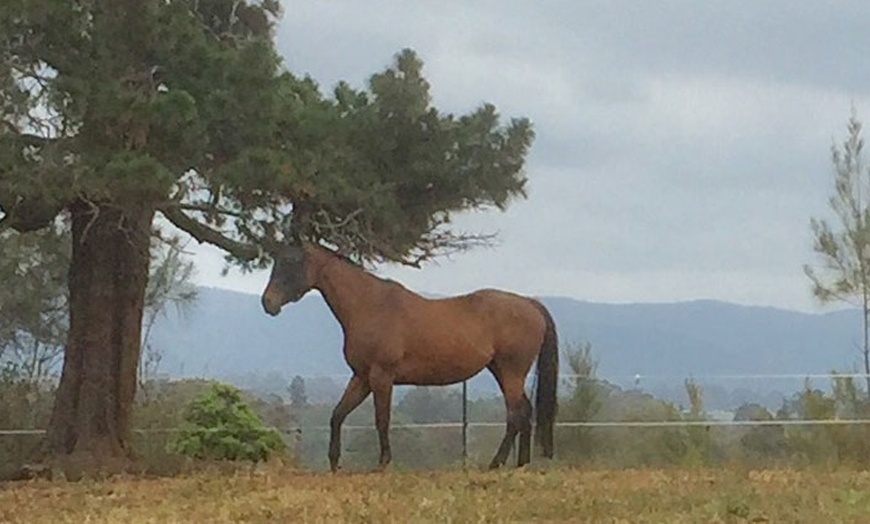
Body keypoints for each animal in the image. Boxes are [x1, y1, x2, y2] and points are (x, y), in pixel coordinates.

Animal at [260, 242, 560, 470]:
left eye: (290, 261)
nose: (267, 303)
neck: (369, 305)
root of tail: (530, 304)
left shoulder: (382, 376)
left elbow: (382, 419)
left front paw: (383, 463)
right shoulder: (361, 378)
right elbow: (337, 415)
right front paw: (334, 463)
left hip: (511, 372)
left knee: (515, 415)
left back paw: (496, 463)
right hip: (501, 370)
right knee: (525, 412)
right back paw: (521, 464)